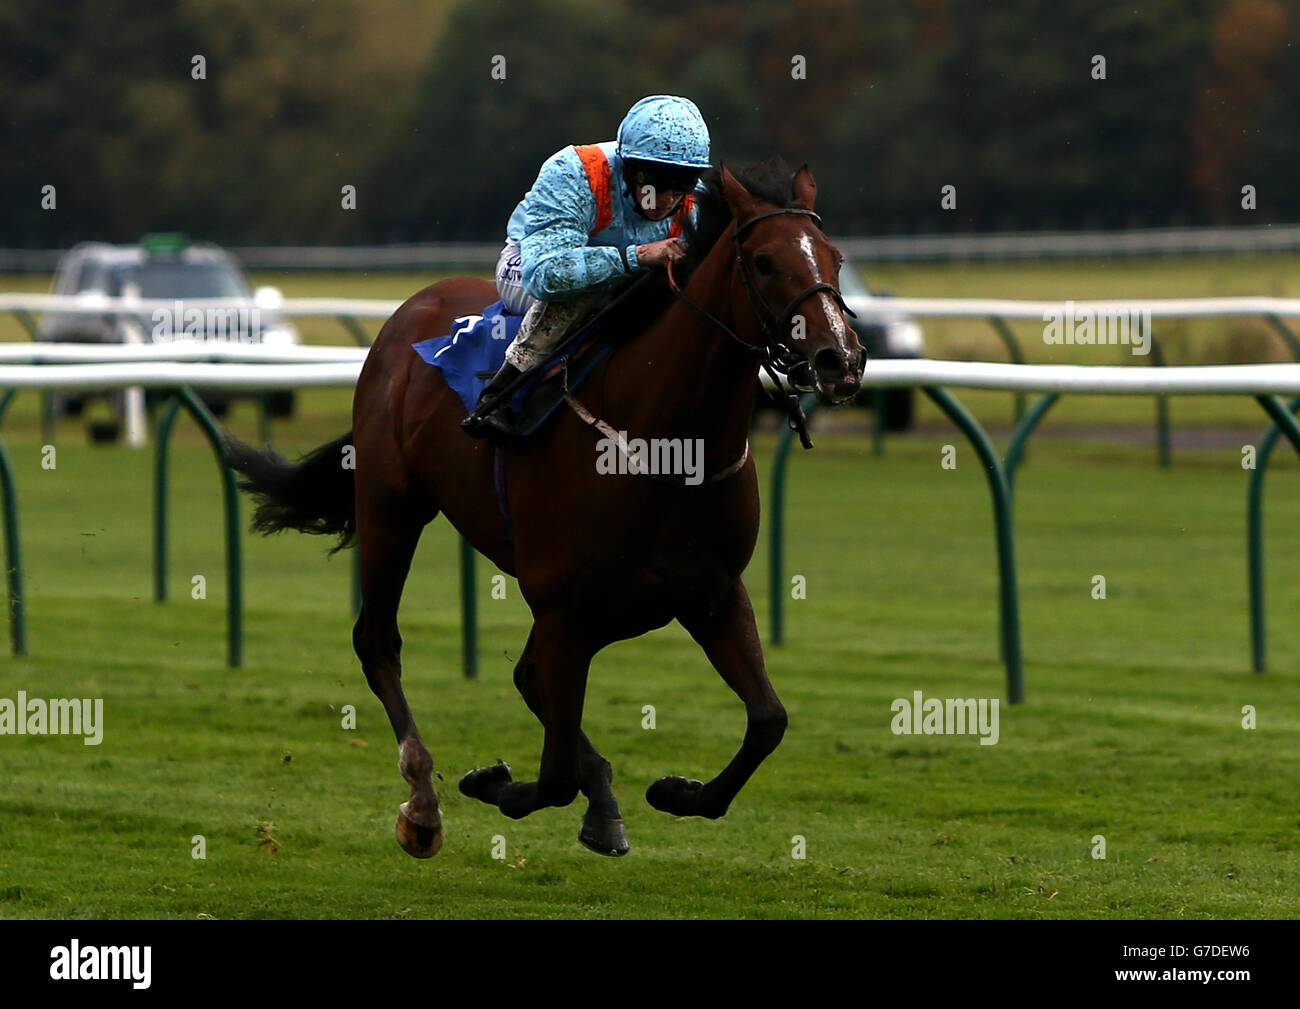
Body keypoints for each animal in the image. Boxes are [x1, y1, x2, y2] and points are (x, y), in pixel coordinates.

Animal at [223, 165, 863, 858]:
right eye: (766, 262)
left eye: (836, 257)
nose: (840, 359)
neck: (667, 444)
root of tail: (415, 305)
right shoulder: (565, 606)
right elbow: (552, 773)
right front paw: (494, 782)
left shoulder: (708, 591)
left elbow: (768, 720)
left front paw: (677, 791)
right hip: (392, 507)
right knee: (379, 642)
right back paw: (423, 804)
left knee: (529, 678)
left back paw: (598, 800)